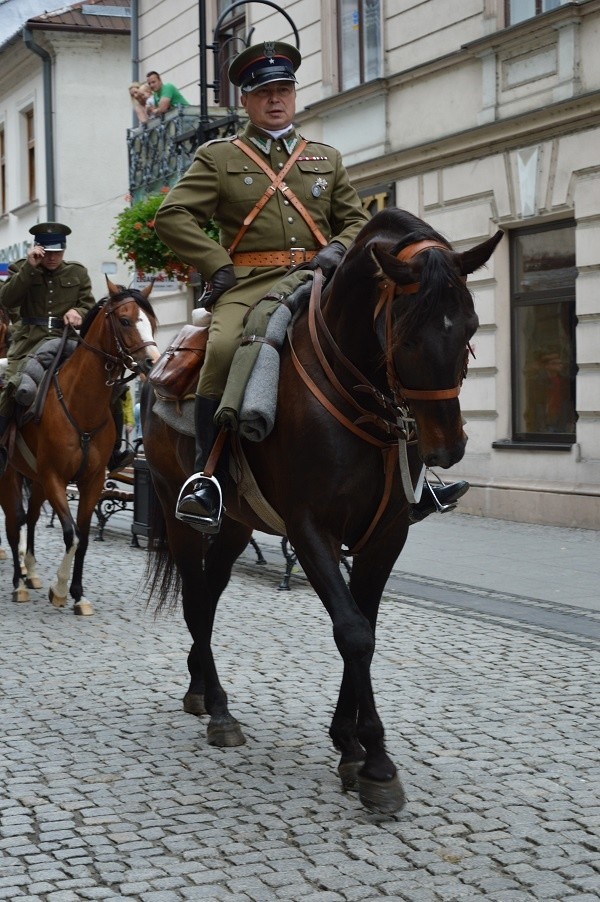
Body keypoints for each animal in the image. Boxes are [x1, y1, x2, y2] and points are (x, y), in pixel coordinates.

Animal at [0, 282, 159, 616]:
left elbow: (83, 538)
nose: (153, 361)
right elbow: (70, 534)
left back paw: (30, 572)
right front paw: (59, 589)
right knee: (14, 522)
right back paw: (19, 583)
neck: (80, 406)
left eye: (151, 321)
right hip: (9, 475)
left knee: (29, 518)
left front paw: (77, 594)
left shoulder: (92, 481)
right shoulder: (54, 478)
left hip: (34, 479)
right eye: (125, 320)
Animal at [141, 208, 502, 816]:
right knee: (194, 600)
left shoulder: (386, 536)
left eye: (472, 327)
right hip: (177, 513)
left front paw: (348, 742)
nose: (447, 448)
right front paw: (376, 761)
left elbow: (365, 625)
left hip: (236, 524)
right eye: (407, 334)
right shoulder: (312, 532)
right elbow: (352, 632)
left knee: (209, 597)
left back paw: (201, 691)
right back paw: (219, 708)